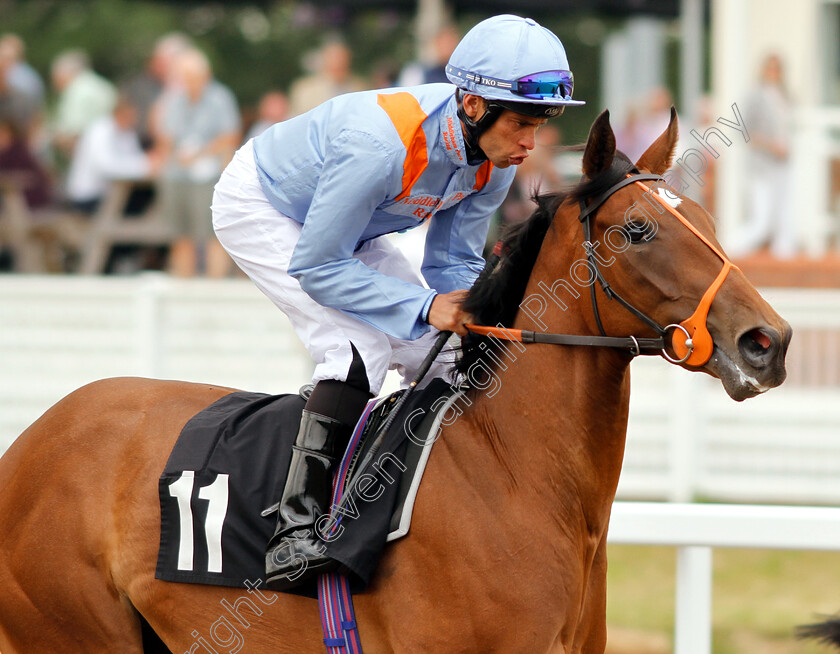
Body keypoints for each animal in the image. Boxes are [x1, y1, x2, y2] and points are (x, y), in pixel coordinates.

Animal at [0, 110, 792, 652]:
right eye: (637, 230)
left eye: (707, 216)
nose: (768, 342)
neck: (514, 475)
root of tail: (29, 442)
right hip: (70, 631)